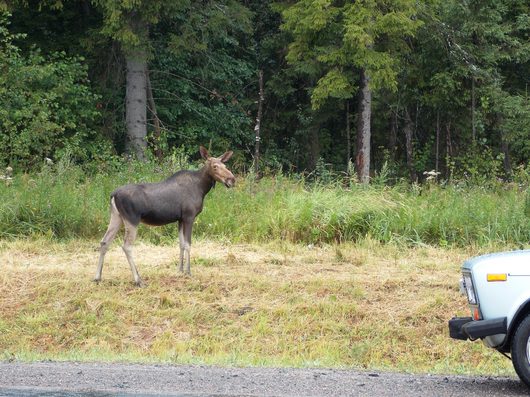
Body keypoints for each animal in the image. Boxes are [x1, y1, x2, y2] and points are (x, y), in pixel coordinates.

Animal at [94, 145, 234, 284]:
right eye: (215, 166)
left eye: (225, 165)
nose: (232, 179)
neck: (202, 188)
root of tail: (113, 194)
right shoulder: (189, 216)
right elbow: (188, 244)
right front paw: (188, 271)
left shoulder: (180, 219)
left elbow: (181, 244)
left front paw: (180, 270)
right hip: (132, 219)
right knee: (127, 246)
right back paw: (138, 280)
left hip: (116, 217)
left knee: (104, 242)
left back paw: (97, 277)